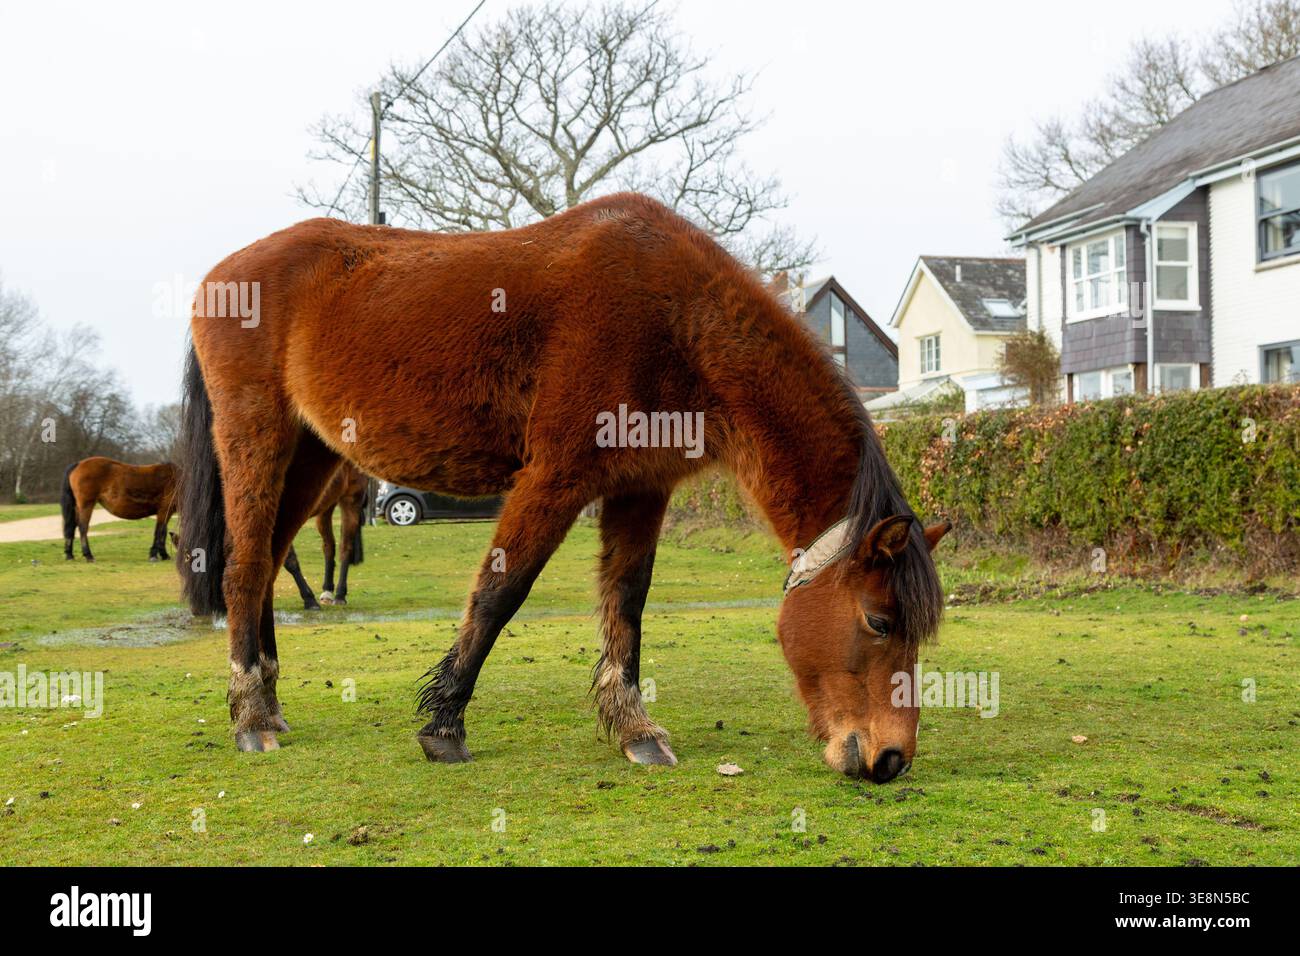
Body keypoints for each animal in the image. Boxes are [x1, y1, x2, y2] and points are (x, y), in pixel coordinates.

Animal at [176, 192, 948, 781]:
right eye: (880, 621)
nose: (890, 760)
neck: (674, 317)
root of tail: (222, 274)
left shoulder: (642, 487)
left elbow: (627, 604)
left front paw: (633, 728)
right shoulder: (555, 477)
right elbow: (501, 592)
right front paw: (444, 725)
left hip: (310, 456)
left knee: (269, 562)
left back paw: (267, 701)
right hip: (259, 440)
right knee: (245, 569)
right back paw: (250, 717)